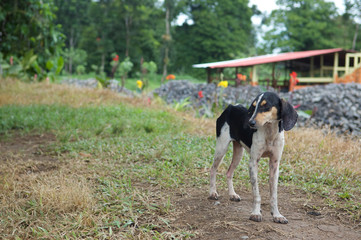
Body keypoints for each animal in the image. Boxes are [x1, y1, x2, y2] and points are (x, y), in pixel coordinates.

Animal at [210, 91, 296, 223]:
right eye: (254, 106)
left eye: (266, 106)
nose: (250, 123)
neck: (269, 134)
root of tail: (230, 106)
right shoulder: (253, 162)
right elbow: (256, 194)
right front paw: (256, 213)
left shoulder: (275, 164)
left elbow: (274, 195)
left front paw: (277, 215)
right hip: (221, 148)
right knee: (213, 169)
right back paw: (213, 192)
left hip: (238, 153)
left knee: (229, 173)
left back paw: (232, 194)